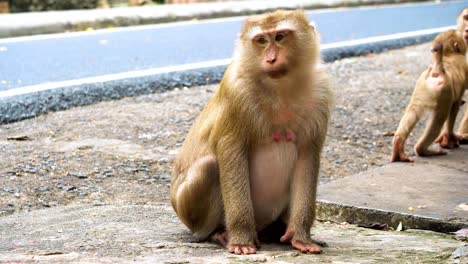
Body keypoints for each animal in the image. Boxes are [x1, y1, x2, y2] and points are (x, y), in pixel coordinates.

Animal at [170, 9, 330, 255]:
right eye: (262, 40)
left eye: (280, 36)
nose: (271, 59)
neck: (280, 87)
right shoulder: (236, 93)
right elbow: (231, 151)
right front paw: (241, 238)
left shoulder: (320, 94)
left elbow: (307, 156)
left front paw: (301, 235)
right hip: (188, 211)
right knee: (209, 166)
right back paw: (218, 233)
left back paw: (277, 230)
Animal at [394, 29, 466, 162]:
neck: (447, 55)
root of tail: (437, 70)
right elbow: (455, 107)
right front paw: (450, 137)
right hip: (444, 94)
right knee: (439, 119)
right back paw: (422, 150)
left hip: (421, 88)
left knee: (412, 112)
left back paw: (398, 145)